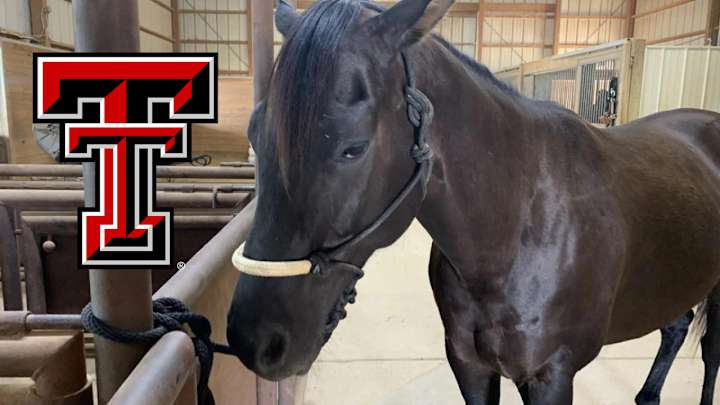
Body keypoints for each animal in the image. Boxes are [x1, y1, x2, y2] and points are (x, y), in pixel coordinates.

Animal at [226, 0, 720, 403]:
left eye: (353, 148)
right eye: (254, 133)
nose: (255, 340)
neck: (514, 228)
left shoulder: (552, 376)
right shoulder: (470, 365)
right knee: (676, 325)